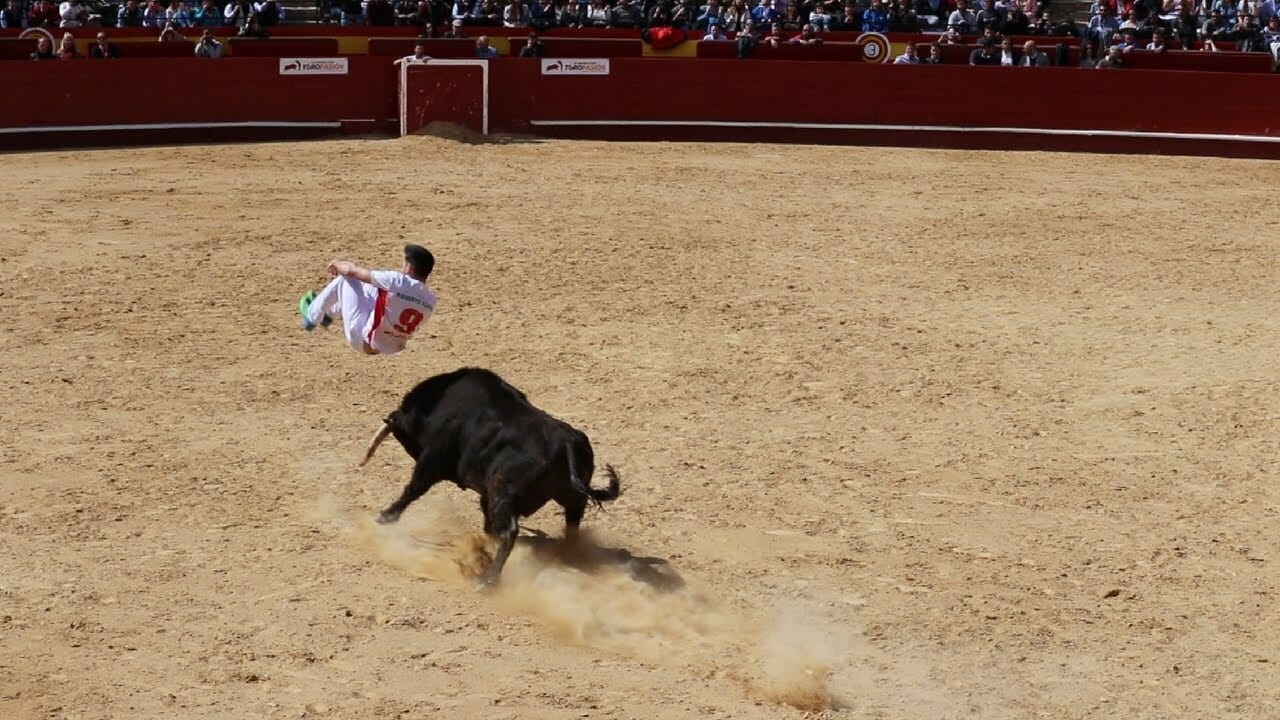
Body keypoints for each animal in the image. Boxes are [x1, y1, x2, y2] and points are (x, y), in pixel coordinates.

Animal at [360, 366, 619, 586]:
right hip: (566, 497)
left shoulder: (432, 460)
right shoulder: (484, 491)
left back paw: (487, 579)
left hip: (502, 491)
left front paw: (385, 516)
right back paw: (568, 555)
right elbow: (486, 519)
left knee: (509, 532)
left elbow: (413, 489)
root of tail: (566, 443)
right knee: (572, 521)